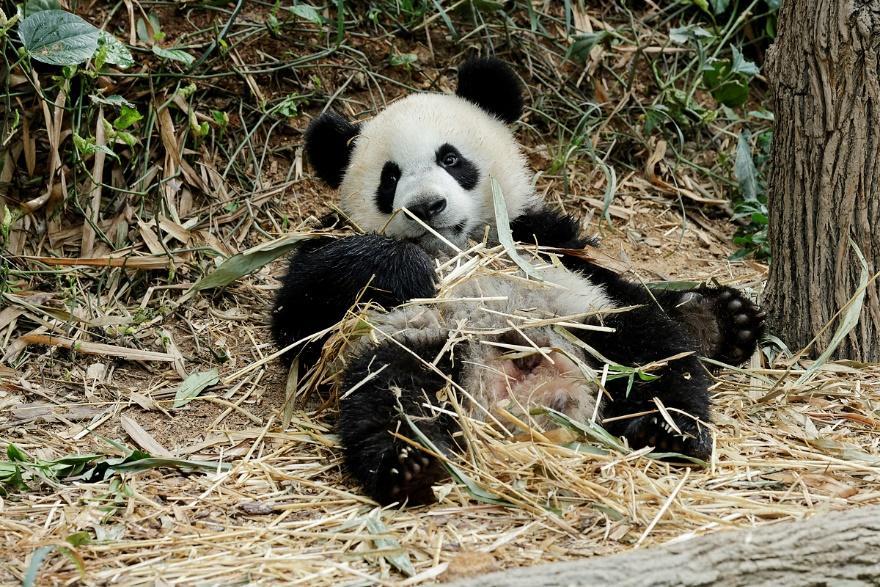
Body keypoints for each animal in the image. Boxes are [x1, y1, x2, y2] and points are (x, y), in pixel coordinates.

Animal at [272, 57, 766, 505]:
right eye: (389, 177)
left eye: (450, 158)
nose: (427, 206)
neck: (459, 249)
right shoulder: (335, 257)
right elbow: (299, 317)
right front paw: (409, 268)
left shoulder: (541, 240)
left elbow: (615, 281)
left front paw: (713, 320)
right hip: (418, 344)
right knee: (385, 396)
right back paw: (409, 463)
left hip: (592, 324)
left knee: (657, 356)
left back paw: (679, 414)